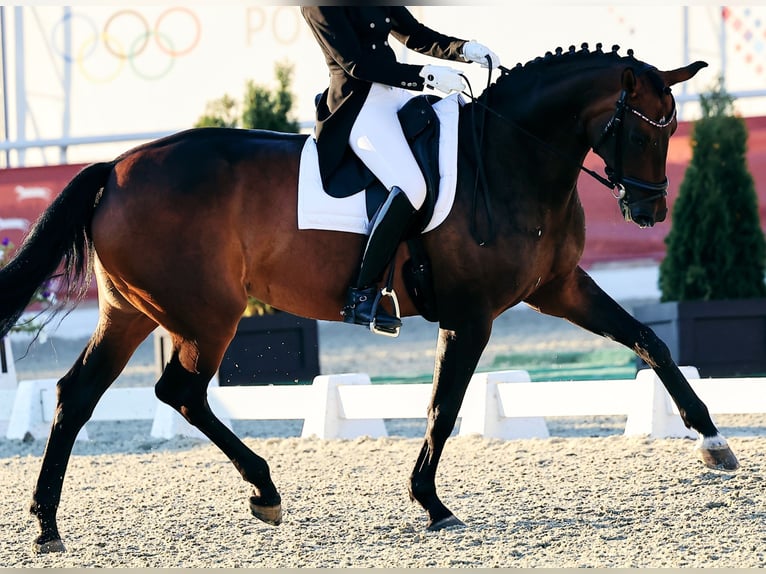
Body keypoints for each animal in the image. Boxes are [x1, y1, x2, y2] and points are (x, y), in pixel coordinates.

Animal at [1, 45, 744, 552]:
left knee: (77, 394)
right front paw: (432, 503)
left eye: (671, 128)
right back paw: (264, 491)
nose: (649, 211)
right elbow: (443, 407)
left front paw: (712, 441)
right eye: (643, 129)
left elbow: (649, 340)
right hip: (207, 316)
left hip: (131, 311)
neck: (513, 158)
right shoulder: (471, 316)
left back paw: (46, 524)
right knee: (179, 391)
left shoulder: (558, 288)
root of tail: (115, 168)